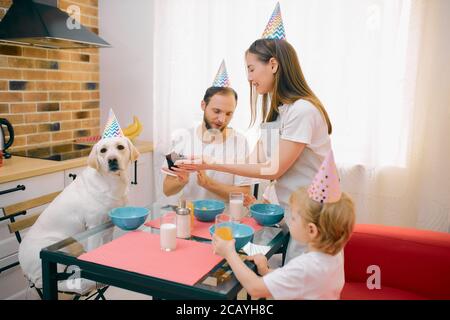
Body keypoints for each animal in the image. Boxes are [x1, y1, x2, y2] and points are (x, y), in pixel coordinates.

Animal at [18, 138, 139, 290]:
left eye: (120, 147)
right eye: (103, 150)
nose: (112, 160)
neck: (112, 181)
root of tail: (21, 261)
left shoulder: (108, 226)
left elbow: (106, 244)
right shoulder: (94, 227)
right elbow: (94, 249)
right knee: (45, 283)